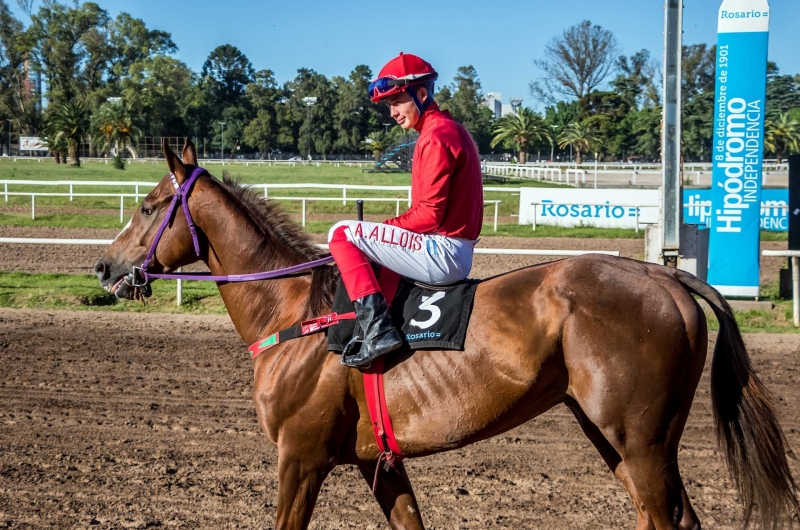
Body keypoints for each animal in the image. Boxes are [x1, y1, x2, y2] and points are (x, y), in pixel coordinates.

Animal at [95, 139, 800, 528]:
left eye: (149, 207)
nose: (105, 267)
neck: (294, 313)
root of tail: (664, 275)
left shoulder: (300, 457)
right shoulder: (375, 461)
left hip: (643, 441)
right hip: (618, 440)